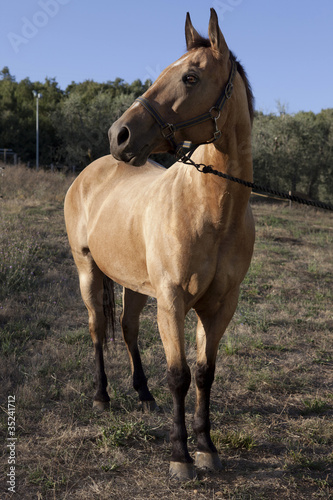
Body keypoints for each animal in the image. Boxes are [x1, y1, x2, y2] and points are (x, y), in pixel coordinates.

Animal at [63, 5, 254, 478]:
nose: (119, 135)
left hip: (132, 284)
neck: (212, 210)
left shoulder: (220, 305)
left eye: (190, 77)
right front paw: (180, 456)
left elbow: (204, 373)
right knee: (97, 328)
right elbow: (179, 375)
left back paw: (143, 393)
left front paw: (206, 448)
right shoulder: (172, 301)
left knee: (128, 329)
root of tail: (91, 171)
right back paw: (102, 396)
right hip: (88, 271)